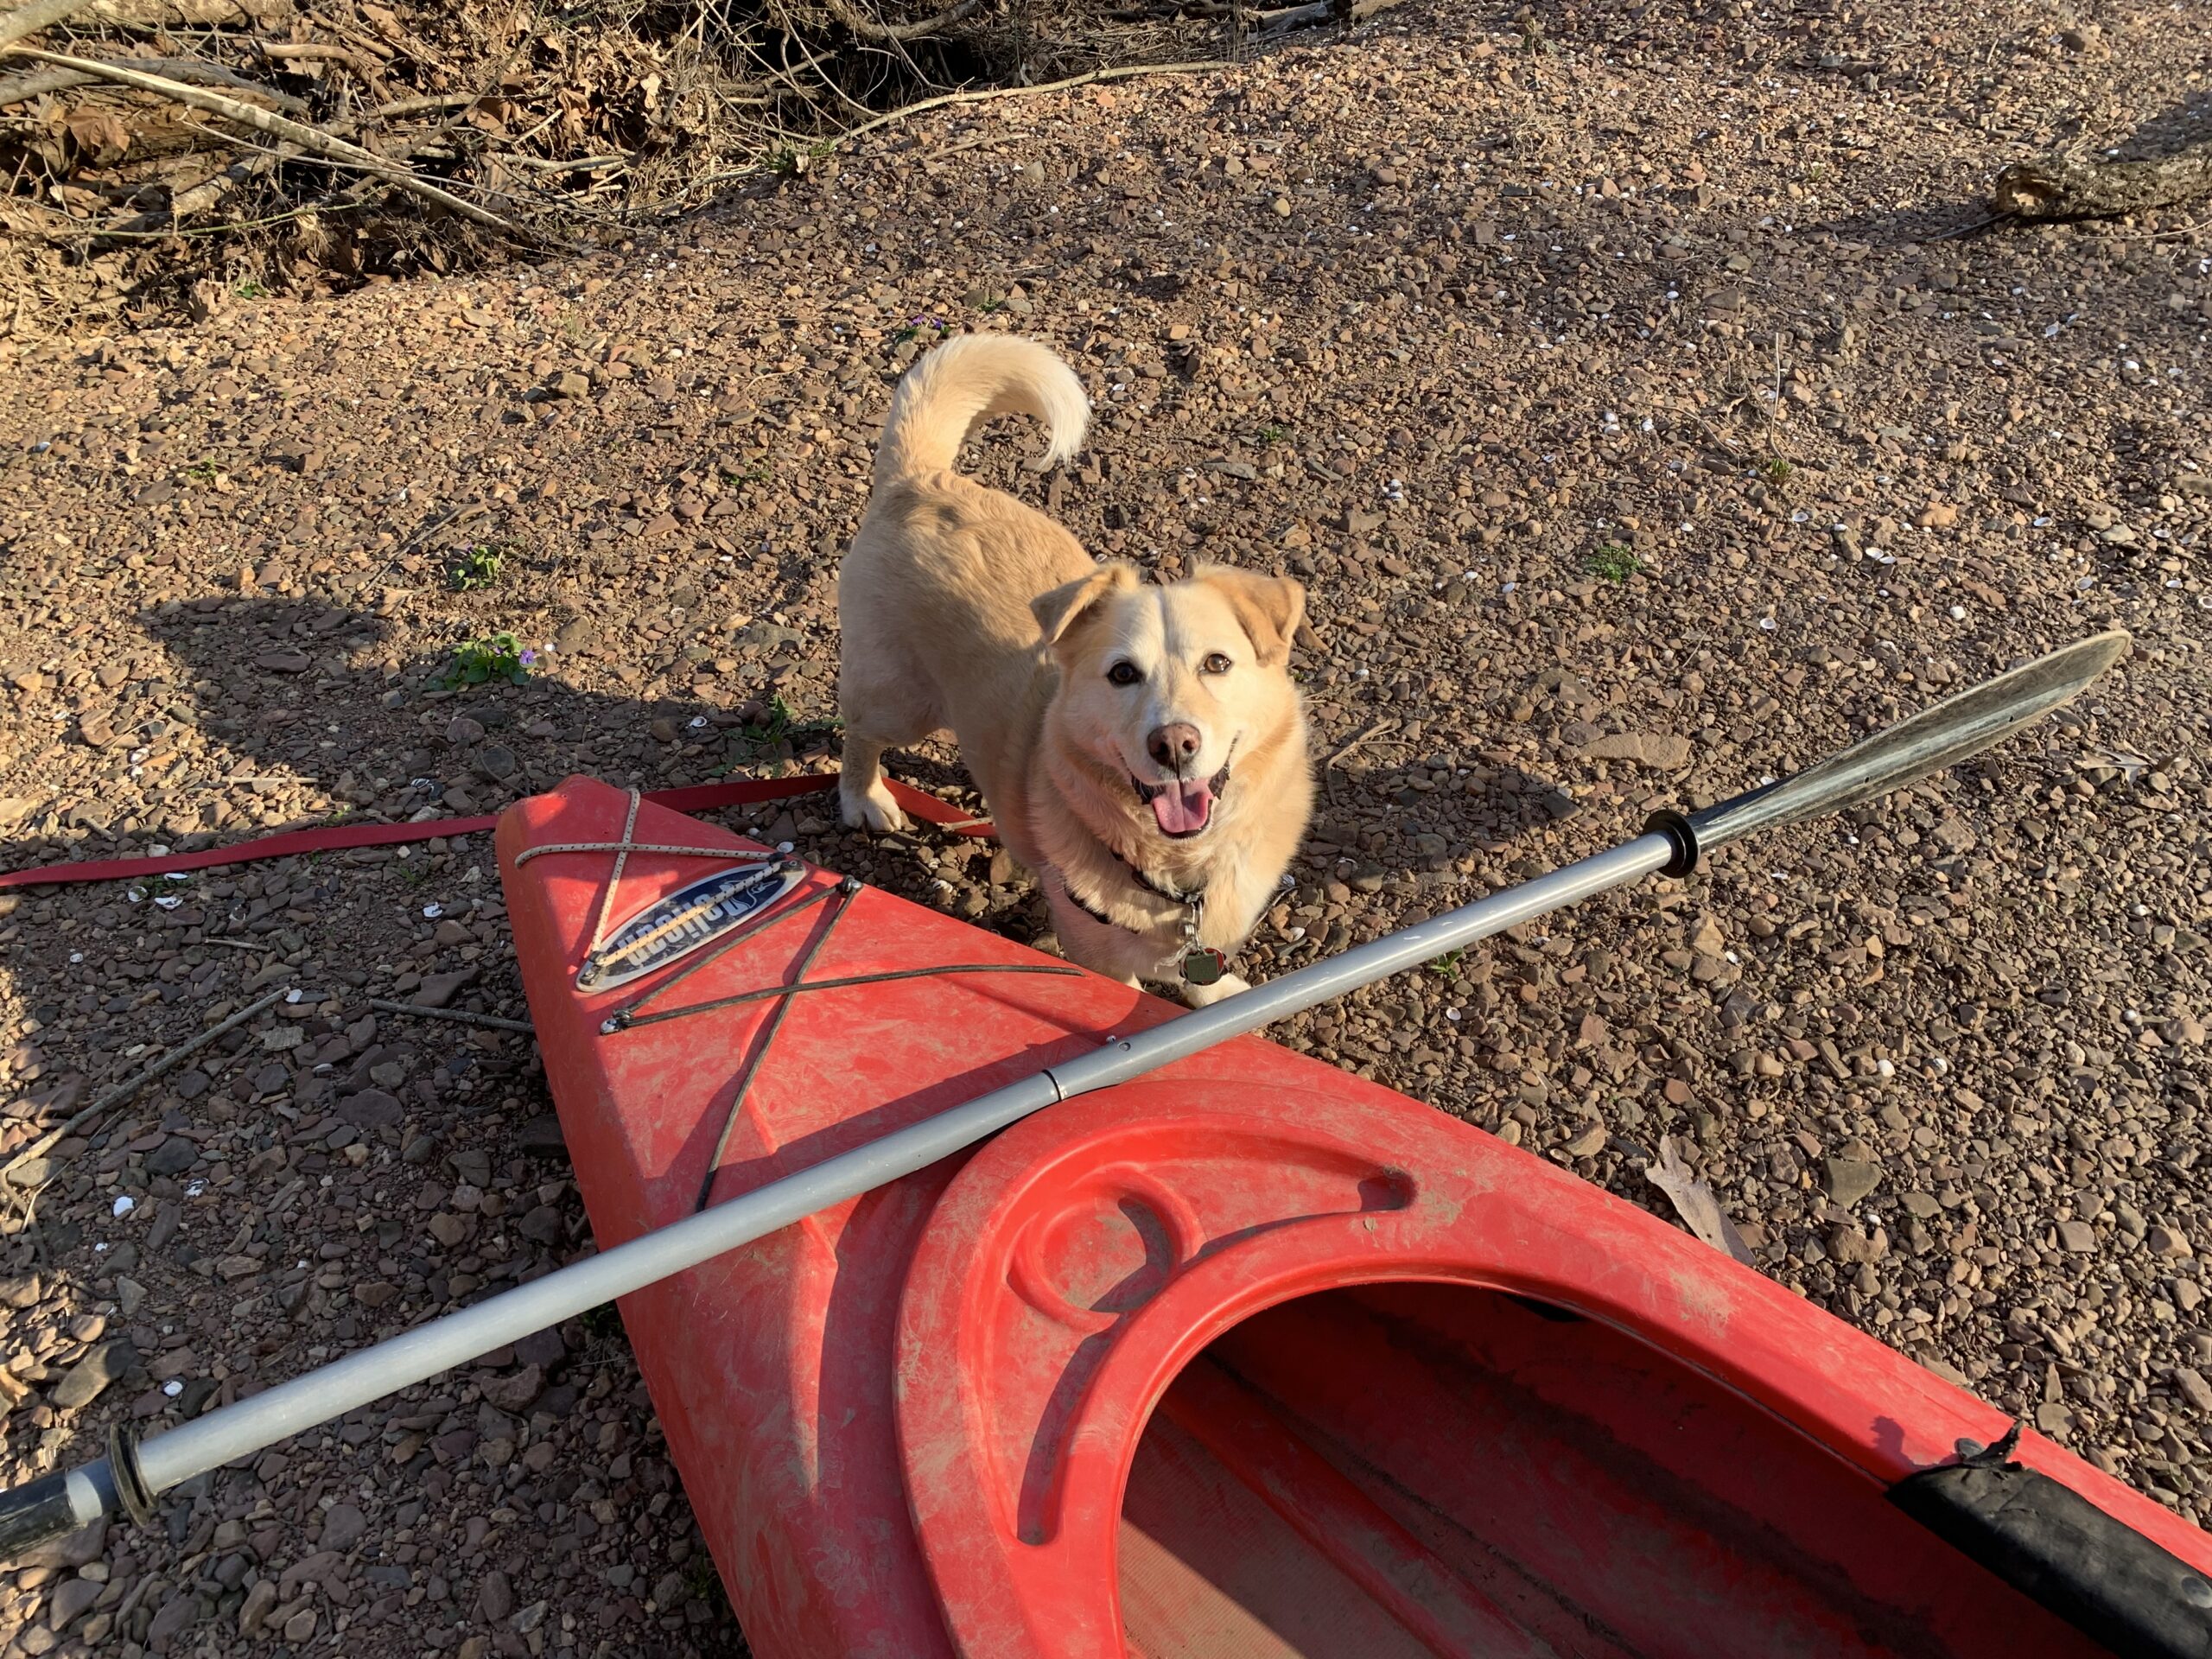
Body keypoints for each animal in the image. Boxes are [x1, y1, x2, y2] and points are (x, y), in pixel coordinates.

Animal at [831, 327, 1309, 1000]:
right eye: (1122, 674)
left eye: (1218, 664)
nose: (1174, 745)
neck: (1178, 872)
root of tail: (919, 481)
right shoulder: (1098, 956)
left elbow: (1203, 977)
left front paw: (1217, 996)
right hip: (899, 702)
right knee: (859, 735)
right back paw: (866, 799)